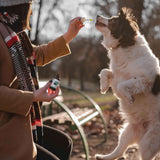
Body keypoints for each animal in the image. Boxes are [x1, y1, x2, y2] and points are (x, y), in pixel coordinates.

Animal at [94, 6, 160, 159]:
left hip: (149, 143)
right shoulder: (116, 76)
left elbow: (123, 85)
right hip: (127, 132)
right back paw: (102, 156)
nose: (97, 15)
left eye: (113, 20)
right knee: (119, 151)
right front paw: (103, 86)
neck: (124, 44)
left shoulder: (145, 80)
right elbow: (105, 71)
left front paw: (129, 98)